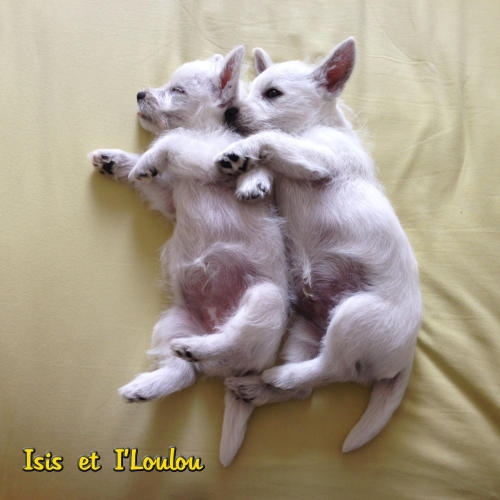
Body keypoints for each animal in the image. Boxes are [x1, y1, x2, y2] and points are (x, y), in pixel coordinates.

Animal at [89, 47, 289, 466]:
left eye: (177, 90)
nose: (139, 93)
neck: (207, 129)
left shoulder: (213, 159)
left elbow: (173, 141)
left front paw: (146, 159)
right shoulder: (169, 198)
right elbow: (158, 174)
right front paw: (119, 161)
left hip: (264, 300)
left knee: (230, 338)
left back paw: (198, 348)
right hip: (172, 323)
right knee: (183, 373)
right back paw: (147, 386)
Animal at [215, 37, 422, 454]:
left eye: (272, 93)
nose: (228, 111)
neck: (315, 126)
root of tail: (406, 355)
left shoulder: (317, 159)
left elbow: (271, 140)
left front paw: (243, 151)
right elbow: (271, 159)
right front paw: (251, 178)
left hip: (355, 315)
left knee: (333, 369)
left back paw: (279, 377)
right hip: (303, 333)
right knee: (307, 388)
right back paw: (258, 387)